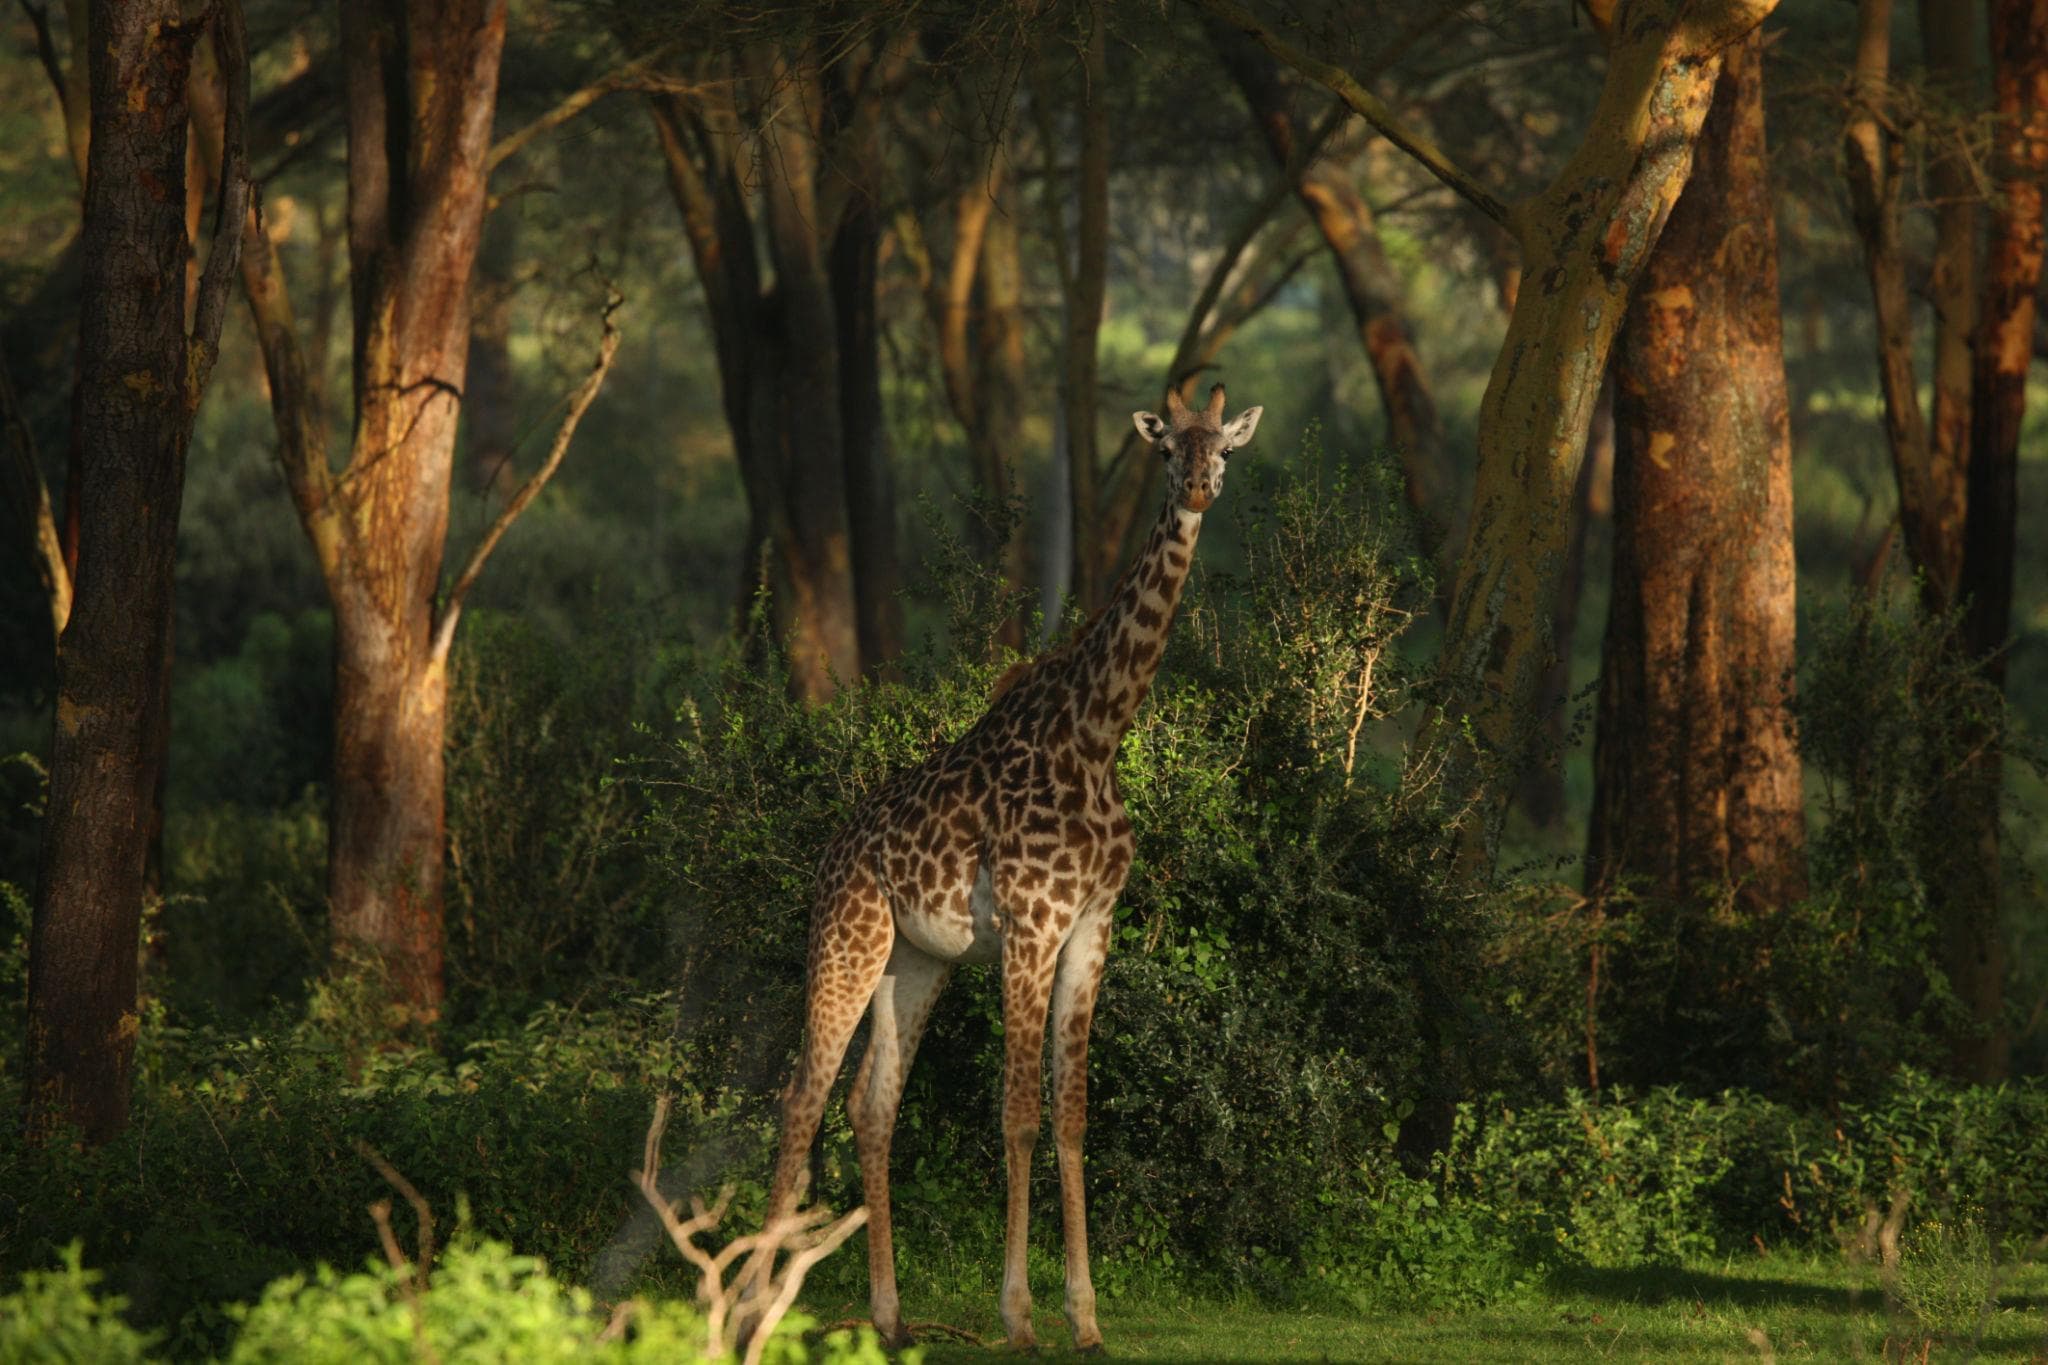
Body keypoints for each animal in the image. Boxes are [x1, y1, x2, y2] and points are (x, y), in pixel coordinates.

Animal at [755, 383, 1262, 1352]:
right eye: (1166, 446)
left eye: (1223, 447)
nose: (1198, 488)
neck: (1098, 736)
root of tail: (830, 853)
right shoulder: (1032, 925)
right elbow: (1020, 1113)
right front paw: (1020, 1316)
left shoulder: (1092, 927)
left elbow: (1072, 1111)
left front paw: (1087, 1318)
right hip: (847, 941)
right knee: (801, 1097)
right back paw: (750, 1306)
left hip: (916, 961)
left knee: (870, 1106)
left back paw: (890, 1317)